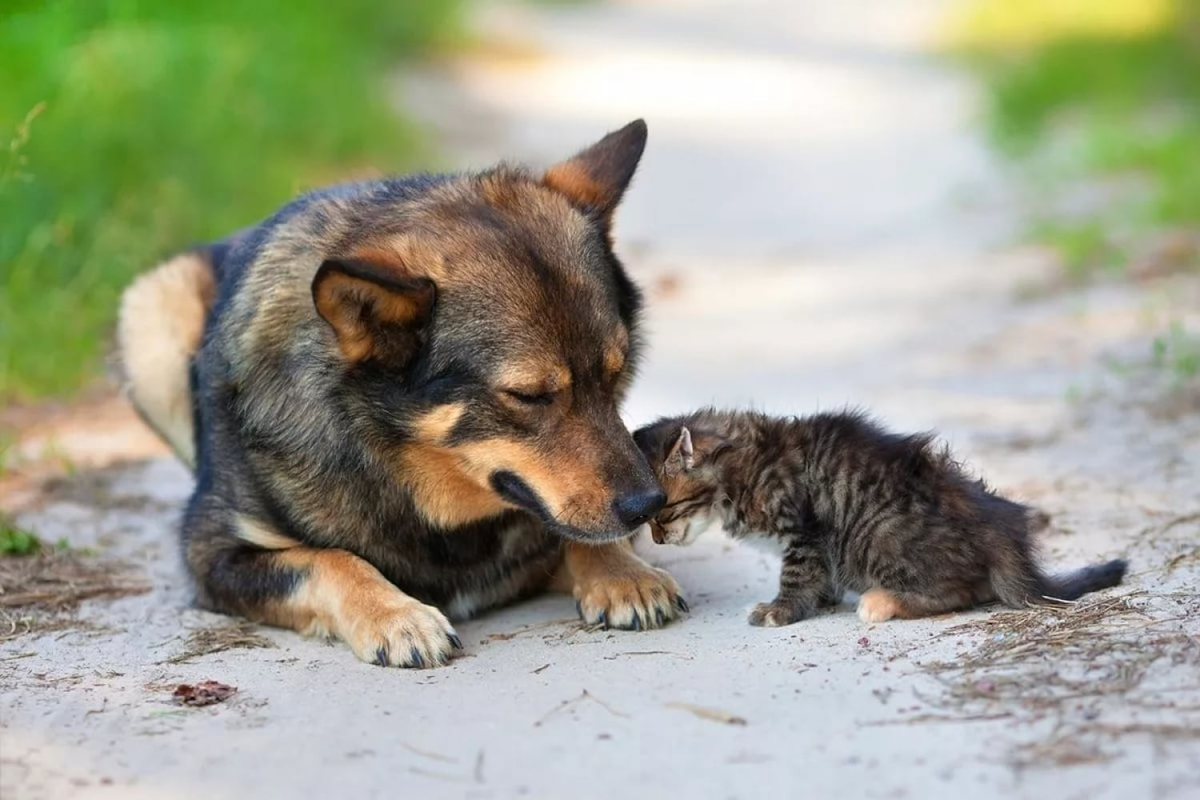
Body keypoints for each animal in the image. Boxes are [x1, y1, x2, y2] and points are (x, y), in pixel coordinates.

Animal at [121, 120, 691, 671]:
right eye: (528, 395)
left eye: (615, 374)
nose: (649, 505)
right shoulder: (214, 555)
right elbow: (328, 560)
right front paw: (395, 615)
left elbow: (575, 533)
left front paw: (621, 573)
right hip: (152, 310)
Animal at [633, 410, 1128, 628]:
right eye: (647, 520)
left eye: (664, 512)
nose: (657, 542)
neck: (744, 464)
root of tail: (1000, 530)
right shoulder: (814, 543)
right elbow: (819, 576)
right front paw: (823, 600)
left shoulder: (804, 530)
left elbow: (796, 576)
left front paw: (781, 610)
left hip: (878, 535)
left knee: (961, 591)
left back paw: (882, 602)